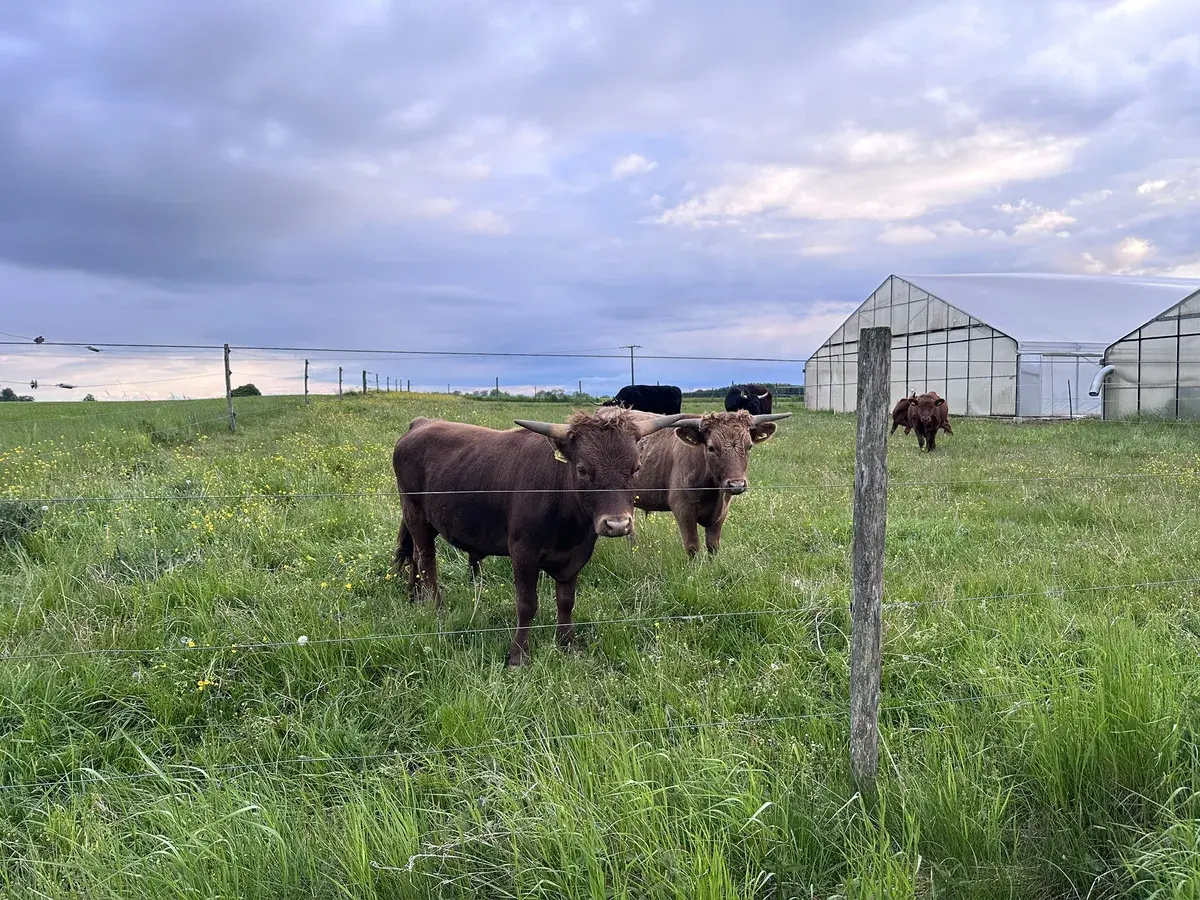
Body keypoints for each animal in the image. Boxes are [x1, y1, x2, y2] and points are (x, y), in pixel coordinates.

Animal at [391, 409, 687, 665]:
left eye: (636, 468)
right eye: (582, 469)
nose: (617, 524)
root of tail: (421, 423)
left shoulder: (576, 555)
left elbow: (566, 601)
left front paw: (568, 645)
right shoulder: (523, 554)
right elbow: (527, 604)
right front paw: (518, 655)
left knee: (415, 555)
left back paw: (413, 595)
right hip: (416, 514)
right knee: (427, 560)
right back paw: (437, 607)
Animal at [600, 408, 792, 556]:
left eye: (749, 446)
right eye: (711, 448)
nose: (737, 484)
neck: (713, 491)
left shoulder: (721, 513)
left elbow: (713, 546)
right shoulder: (684, 510)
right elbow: (692, 546)